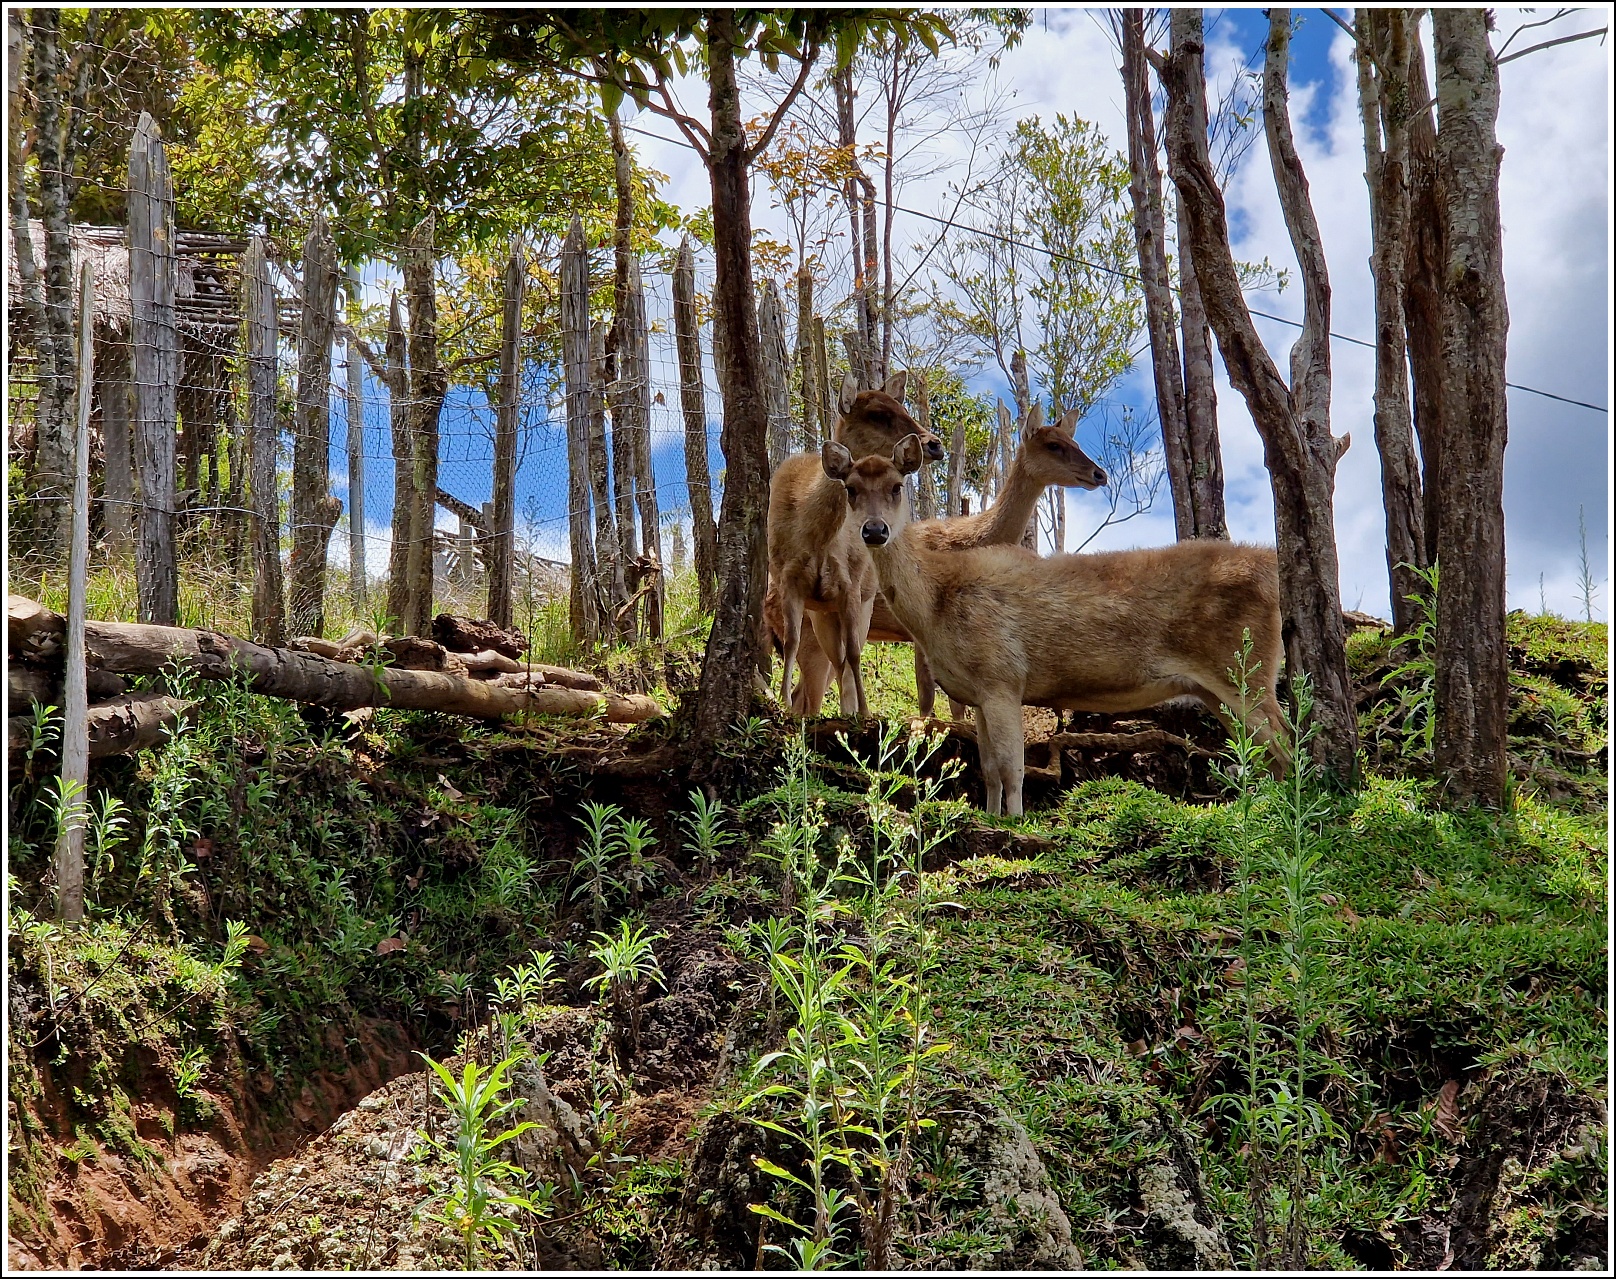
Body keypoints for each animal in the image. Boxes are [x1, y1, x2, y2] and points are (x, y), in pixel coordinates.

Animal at [762, 371, 943, 721]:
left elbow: (856, 653)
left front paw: (865, 711)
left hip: (863, 601)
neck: (815, 533)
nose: (934, 443)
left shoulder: (851, 585)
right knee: (833, 662)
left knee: (845, 658)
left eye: (901, 406)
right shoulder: (788, 579)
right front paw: (783, 705)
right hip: (822, 614)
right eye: (877, 414)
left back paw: (851, 710)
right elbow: (791, 642)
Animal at [840, 436, 1292, 821]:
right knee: (1267, 753)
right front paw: (992, 815)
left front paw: (1016, 821)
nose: (875, 530)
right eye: (851, 489)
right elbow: (987, 768)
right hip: (1216, 688)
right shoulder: (978, 692)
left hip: (1245, 672)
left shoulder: (1002, 677)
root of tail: (1272, 569)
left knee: (1288, 744)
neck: (935, 606)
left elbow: (1012, 767)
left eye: (897, 486)